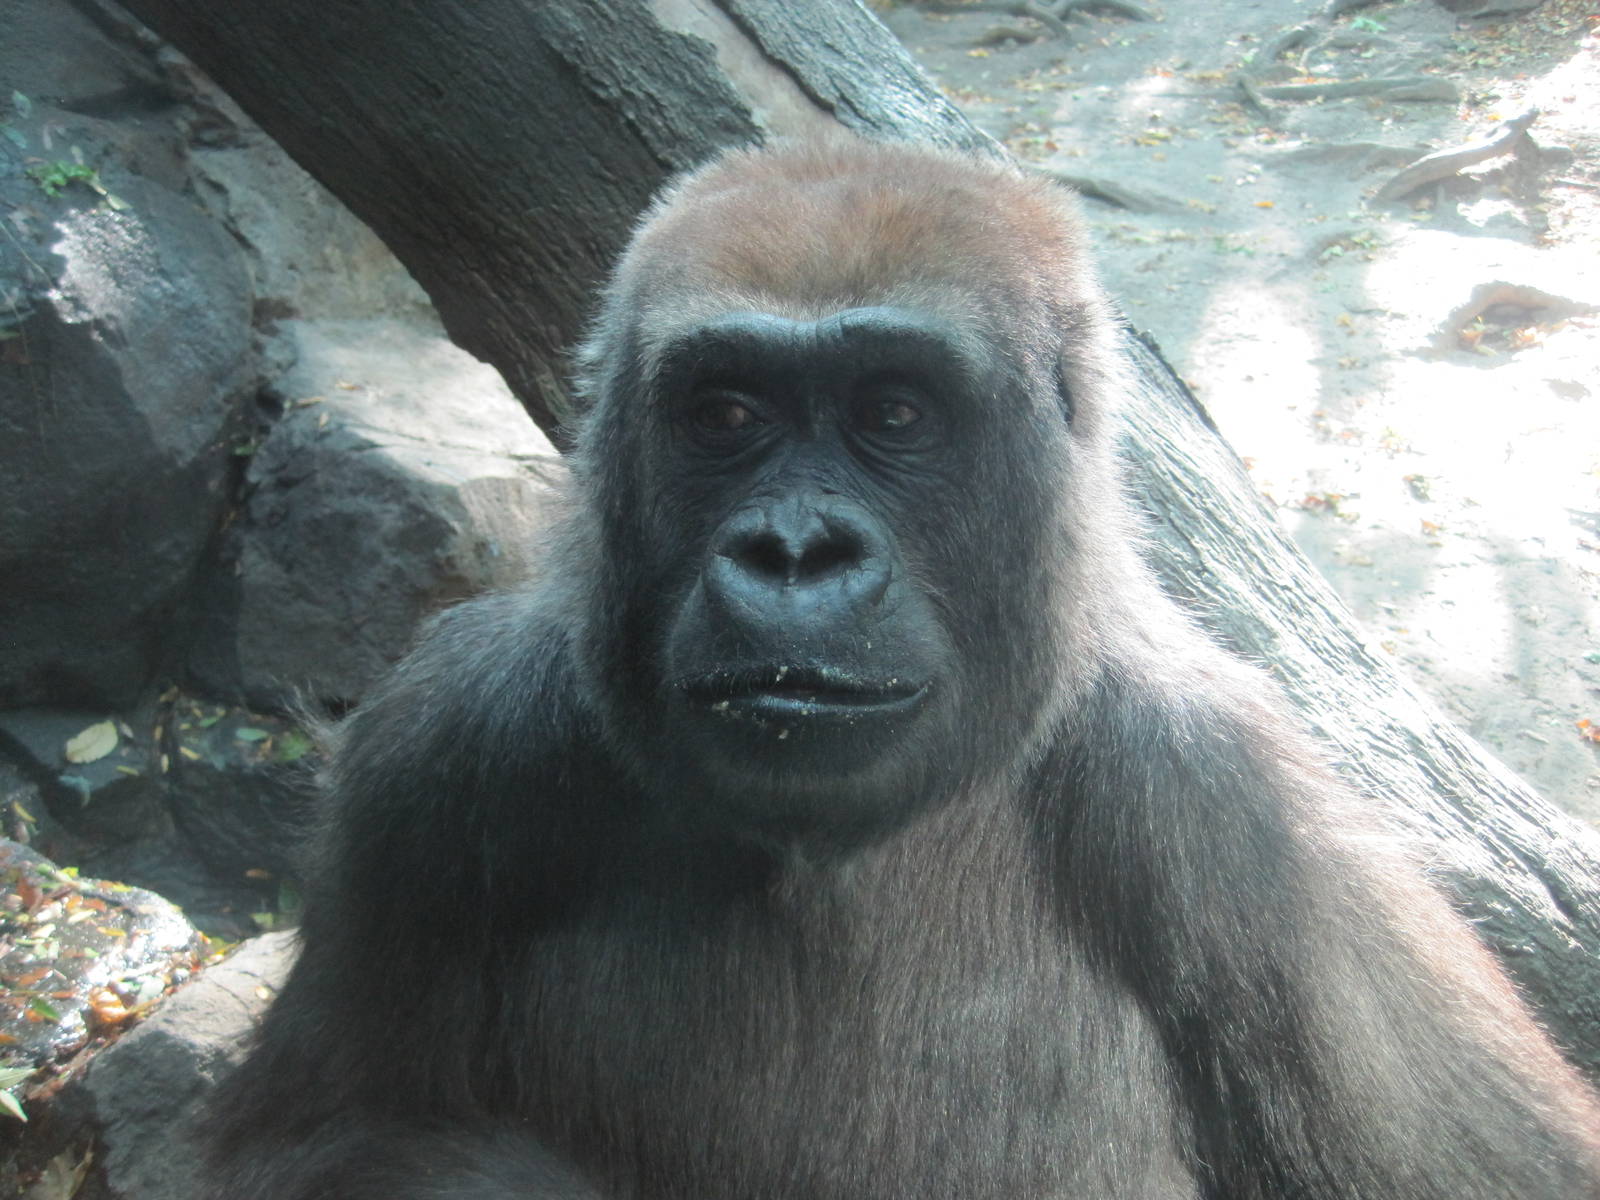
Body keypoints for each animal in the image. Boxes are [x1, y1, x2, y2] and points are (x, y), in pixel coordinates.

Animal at [201, 136, 1600, 1199]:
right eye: (725, 414)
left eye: (893, 414)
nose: (793, 553)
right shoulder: (446, 748)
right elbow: (316, 1138)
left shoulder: (1241, 818)